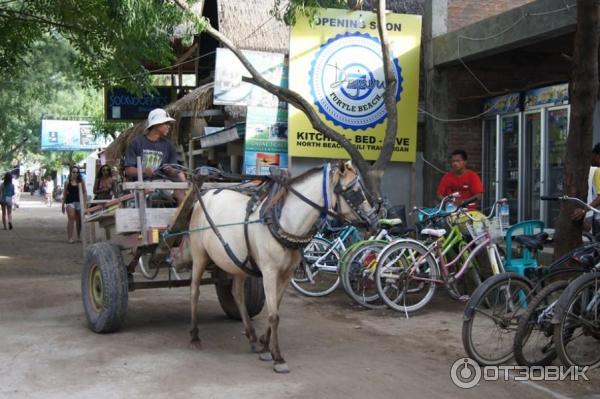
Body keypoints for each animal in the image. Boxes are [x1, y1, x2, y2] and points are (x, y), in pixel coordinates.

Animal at [189, 161, 376, 374]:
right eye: (354, 190)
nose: (374, 219)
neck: (284, 222)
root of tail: (205, 195)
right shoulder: (269, 273)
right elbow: (273, 315)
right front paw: (277, 357)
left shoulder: (286, 275)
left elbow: (276, 309)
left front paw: (264, 345)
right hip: (199, 255)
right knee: (194, 291)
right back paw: (194, 336)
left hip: (237, 262)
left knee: (237, 294)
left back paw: (251, 336)